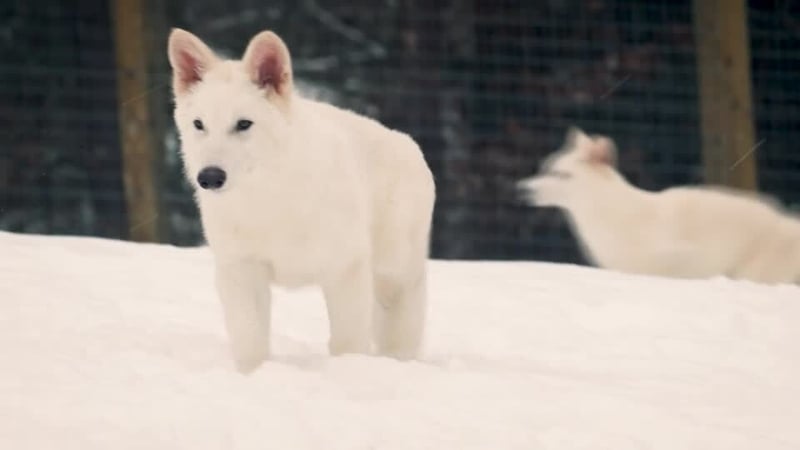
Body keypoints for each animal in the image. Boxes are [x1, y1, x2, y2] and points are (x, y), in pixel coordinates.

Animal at [167, 29, 436, 373]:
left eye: (243, 124)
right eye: (199, 125)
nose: (209, 177)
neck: (270, 197)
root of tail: (407, 143)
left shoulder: (345, 270)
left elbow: (347, 343)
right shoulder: (241, 271)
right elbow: (250, 342)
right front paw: (253, 376)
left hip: (395, 276)